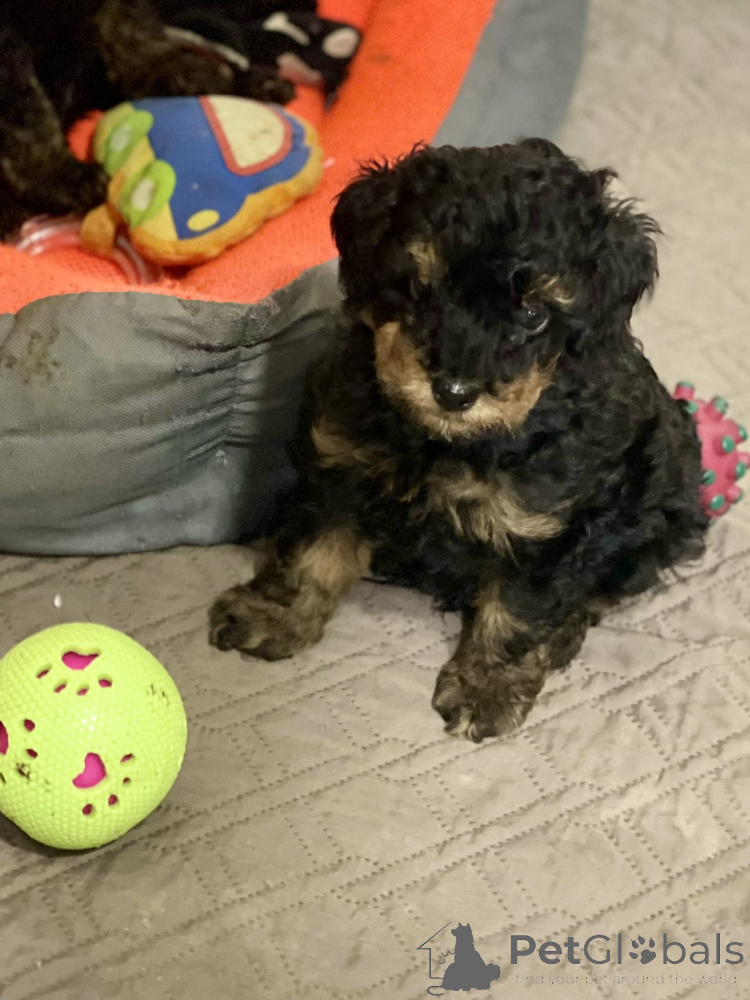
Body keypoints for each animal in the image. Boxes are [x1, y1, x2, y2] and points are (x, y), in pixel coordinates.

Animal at [209, 140, 708, 742]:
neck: (444, 442)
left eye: (533, 314)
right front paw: (277, 615)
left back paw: (566, 631)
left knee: (606, 584)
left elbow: (520, 610)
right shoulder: (342, 464)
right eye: (419, 285)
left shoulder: (547, 525)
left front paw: (486, 688)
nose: (453, 391)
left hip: (661, 510)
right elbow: (312, 552)